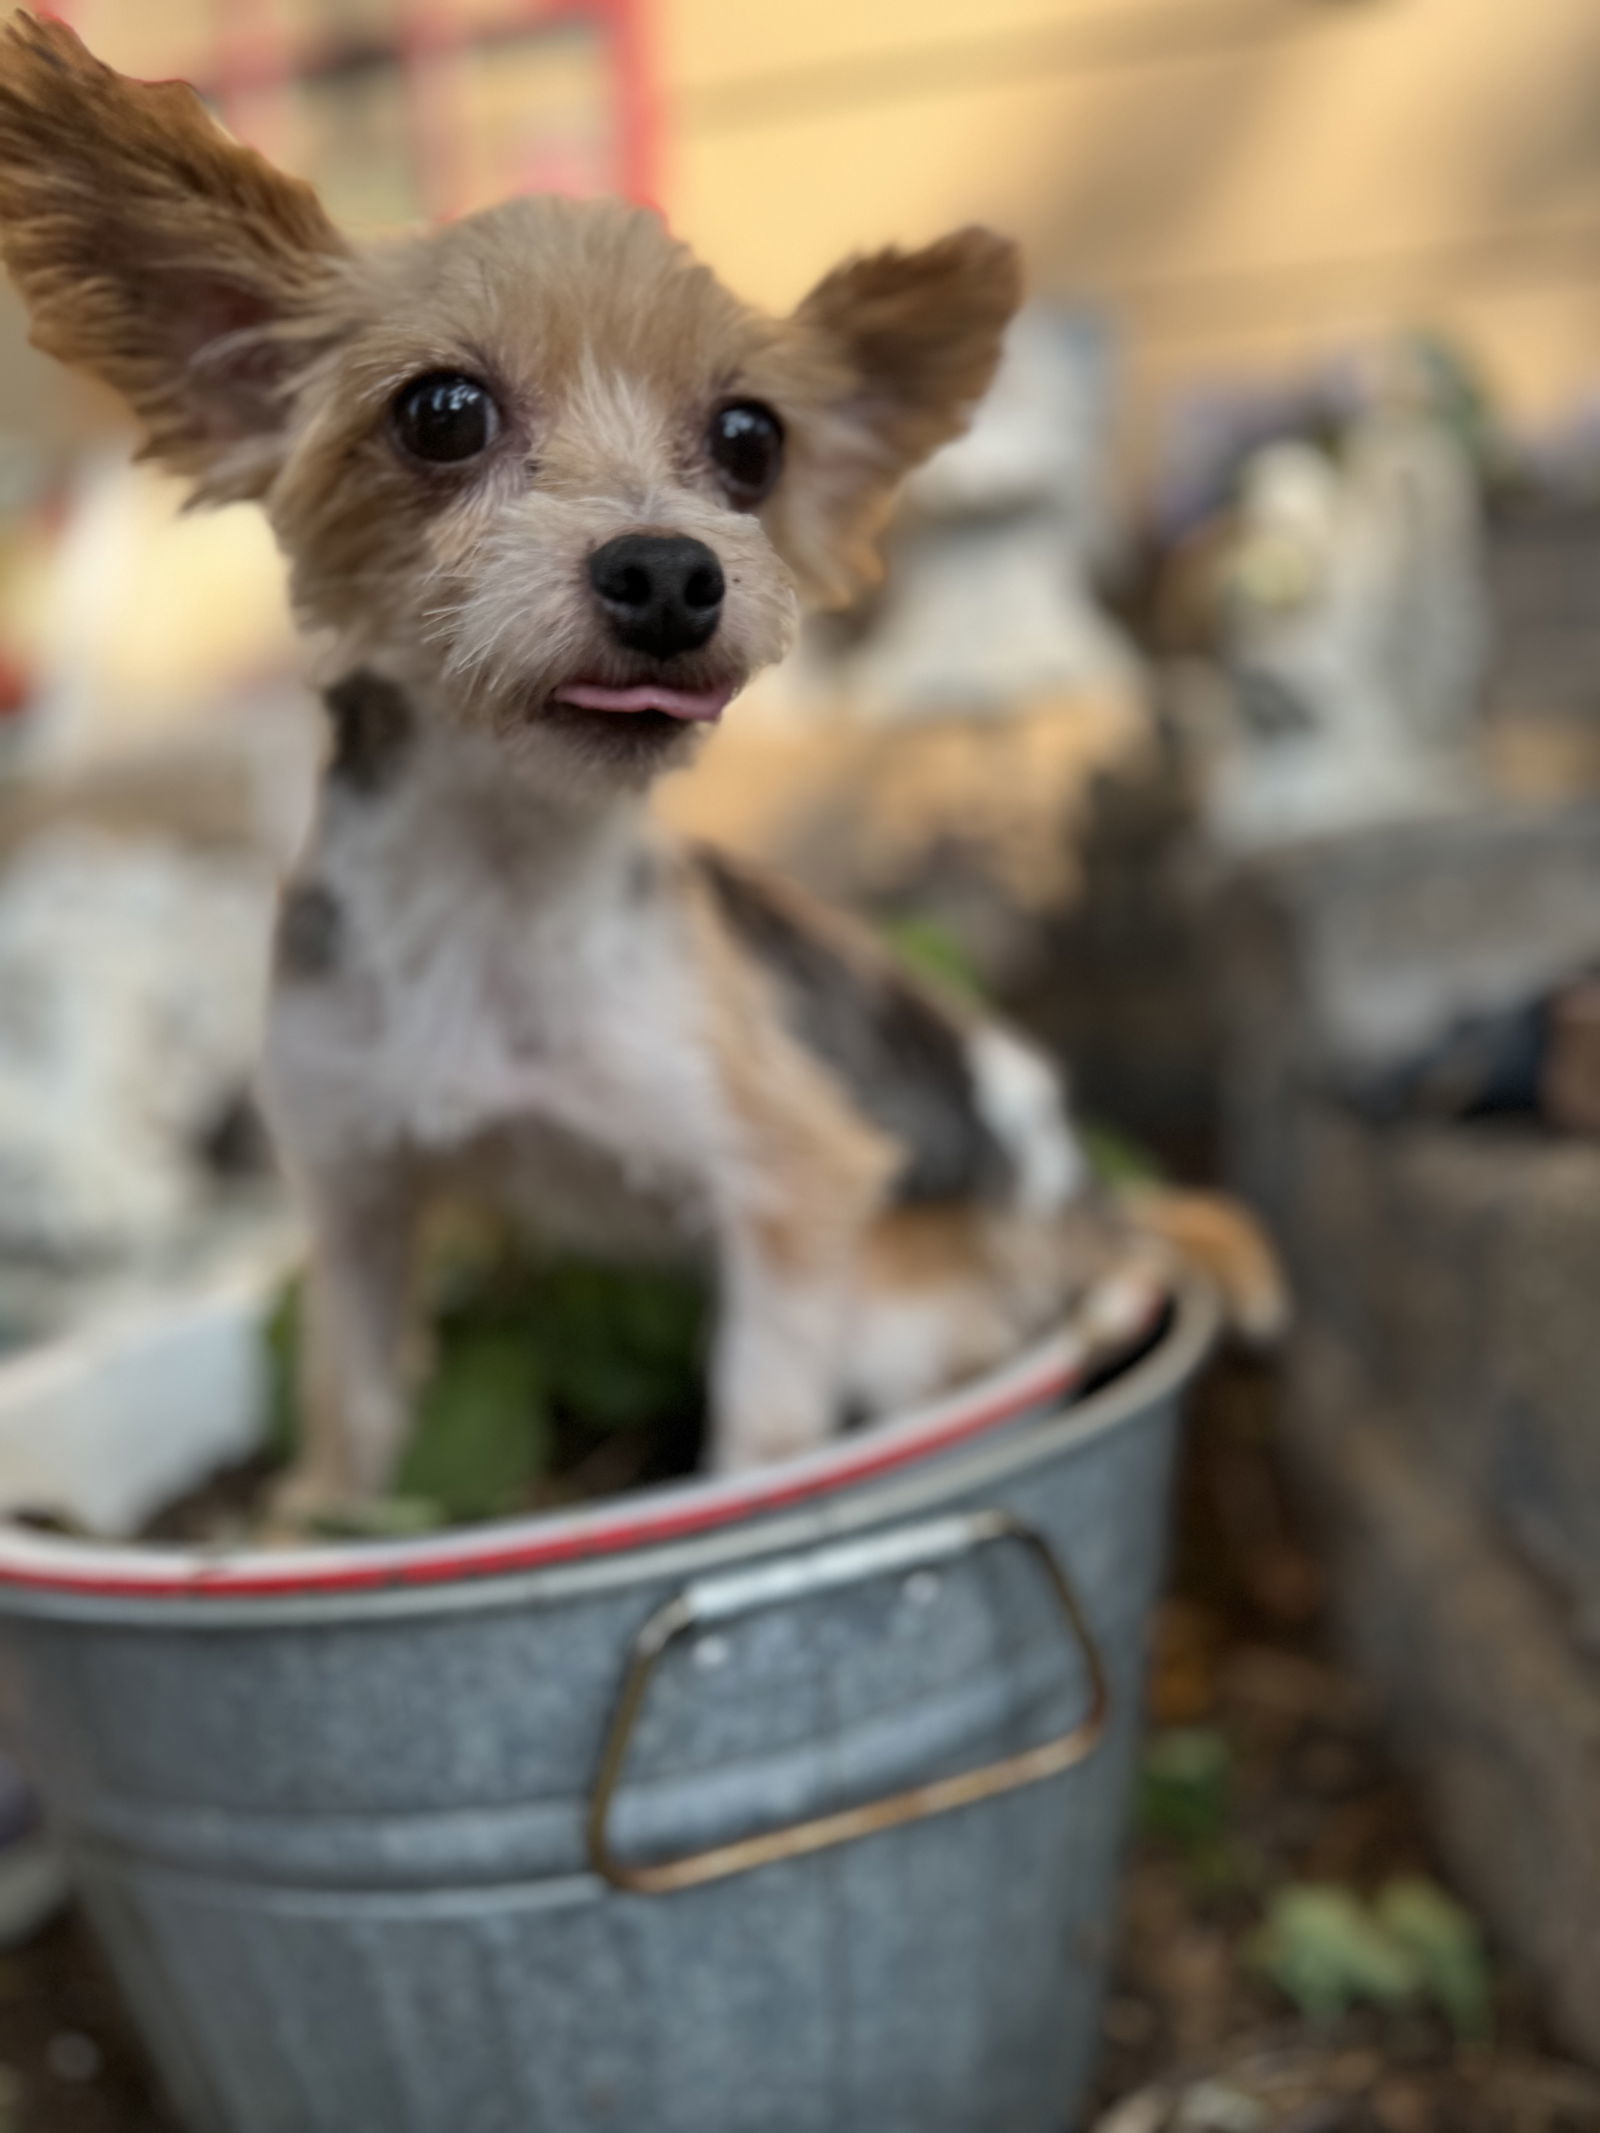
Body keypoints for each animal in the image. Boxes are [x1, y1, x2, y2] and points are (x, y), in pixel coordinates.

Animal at [0, 20, 1288, 1518]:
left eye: (751, 440)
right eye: (442, 412)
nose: (671, 572)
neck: (505, 871)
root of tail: (1086, 1194)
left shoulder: (794, 1186)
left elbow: (760, 1432)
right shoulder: (355, 1180)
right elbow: (351, 1408)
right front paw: (308, 1531)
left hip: (904, 1304)